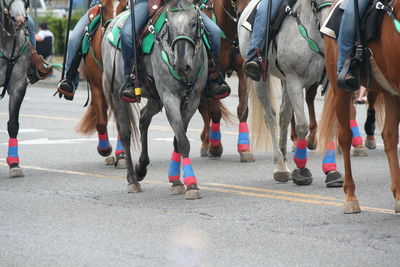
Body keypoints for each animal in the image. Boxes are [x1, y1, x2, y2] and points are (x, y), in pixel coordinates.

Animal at [74, 0, 126, 168]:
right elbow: (101, 121)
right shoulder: (96, 87)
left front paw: (122, 156)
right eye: (103, 7)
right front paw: (104, 149)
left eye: (125, 6)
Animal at [103, 0, 208, 200]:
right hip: (117, 93)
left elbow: (178, 141)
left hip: (154, 98)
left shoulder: (192, 101)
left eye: (193, 23)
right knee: (125, 133)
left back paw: (142, 167)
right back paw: (132, 179)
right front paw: (191, 185)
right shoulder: (170, 98)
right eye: (170, 26)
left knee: (144, 118)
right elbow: (183, 141)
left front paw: (176, 181)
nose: (181, 65)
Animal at [198, 0, 255, 162]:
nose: (244, 15)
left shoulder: (243, 71)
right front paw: (215, 147)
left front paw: (244, 149)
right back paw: (206, 142)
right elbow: (215, 112)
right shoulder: (214, 75)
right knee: (204, 109)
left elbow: (243, 110)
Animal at [238, 0, 334, 185]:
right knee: (270, 117)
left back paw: (283, 157)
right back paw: (280, 167)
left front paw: (332, 172)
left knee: (284, 115)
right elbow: (302, 125)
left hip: (286, 83)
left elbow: (332, 125)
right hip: (261, 79)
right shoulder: (295, 80)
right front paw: (302, 171)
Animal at [318, 0, 400, 214]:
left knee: (389, 136)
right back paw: (350, 197)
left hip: (390, 93)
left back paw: (398, 194)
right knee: (344, 137)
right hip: (341, 89)